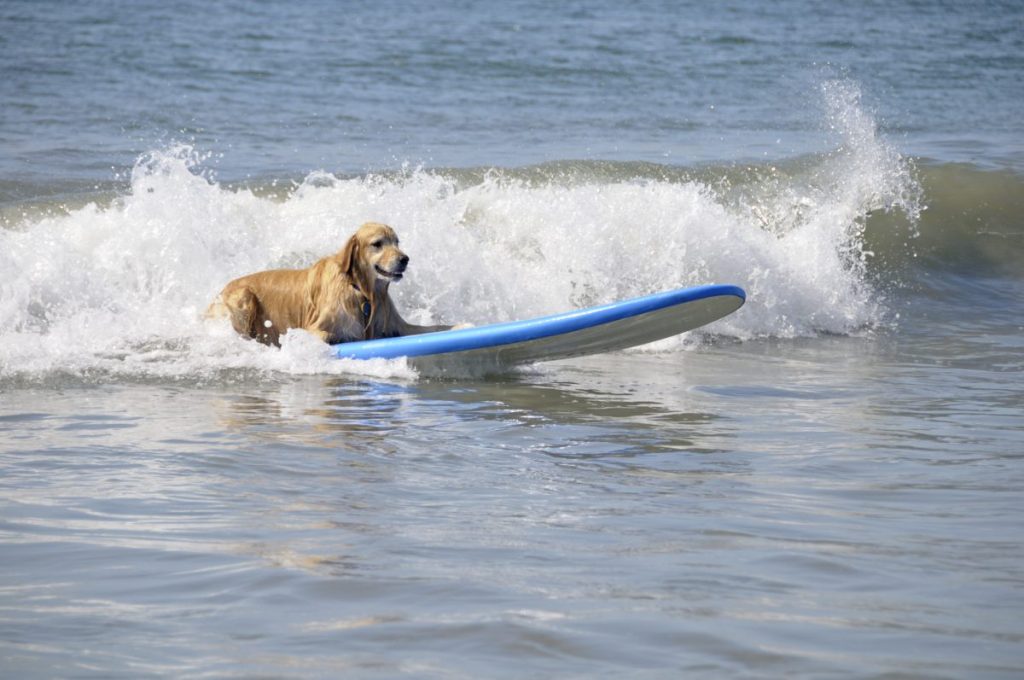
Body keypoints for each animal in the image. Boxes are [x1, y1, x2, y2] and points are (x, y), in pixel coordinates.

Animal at [205, 222, 454, 346]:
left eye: (396, 242)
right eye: (377, 244)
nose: (404, 259)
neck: (360, 290)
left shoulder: (397, 325)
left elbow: (439, 327)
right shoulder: (310, 328)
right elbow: (328, 335)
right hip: (243, 296)